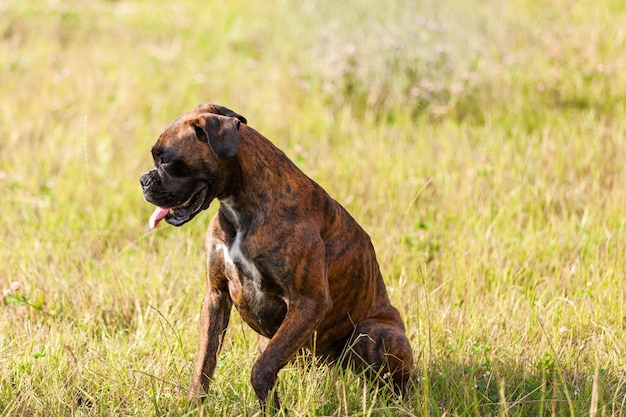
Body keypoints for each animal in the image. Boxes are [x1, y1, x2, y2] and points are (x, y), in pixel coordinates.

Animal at [142, 104, 414, 410]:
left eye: (166, 161)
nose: (143, 181)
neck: (240, 207)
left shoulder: (309, 302)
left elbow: (262, 368)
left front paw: (271, 407)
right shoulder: (216, 295)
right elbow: (204, 361)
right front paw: (194, 405)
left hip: (374, 333)